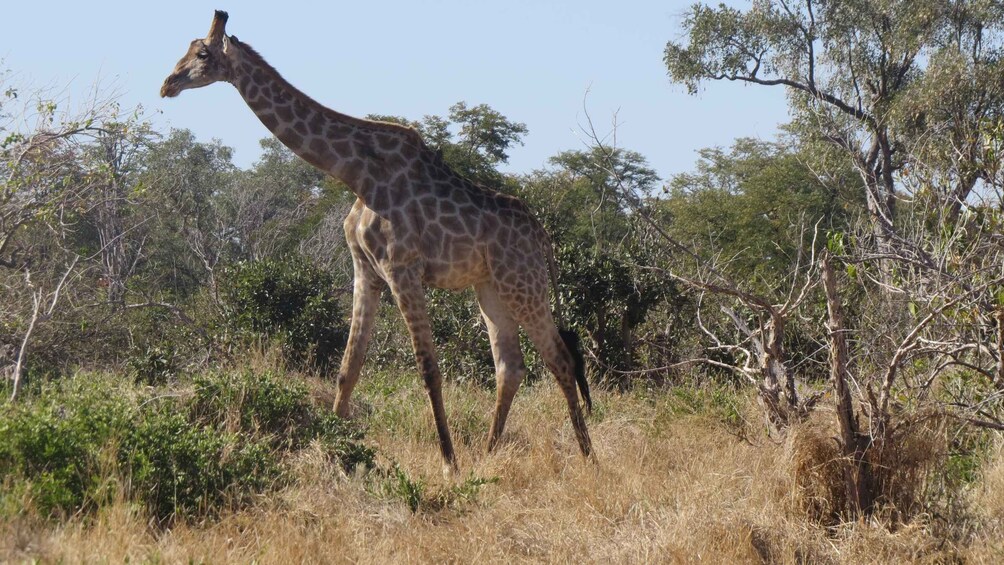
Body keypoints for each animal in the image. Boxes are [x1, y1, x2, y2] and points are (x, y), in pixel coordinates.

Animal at [161, 11, 593, 470]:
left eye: (202, 54)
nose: (167, 84)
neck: (358, 174)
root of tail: (543, 236)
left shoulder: (401, 268)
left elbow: (428, 368)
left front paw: (449, 462)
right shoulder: (365, 270)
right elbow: (349, 367)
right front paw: (336, 447)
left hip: (523, 283)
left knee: (560, 358)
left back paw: (588, 457)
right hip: (490, 286)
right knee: (510, 367)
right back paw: (490, 453)